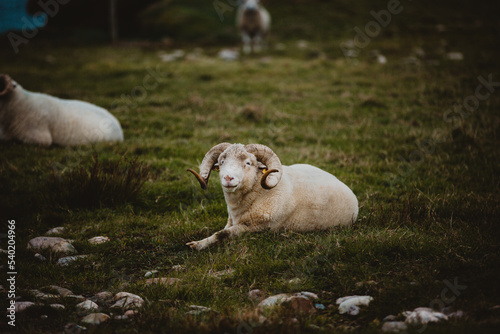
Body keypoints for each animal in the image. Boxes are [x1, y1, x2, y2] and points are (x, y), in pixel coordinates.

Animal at [186, 142, 358, 249]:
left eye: (248, 163)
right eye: (221, 162)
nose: (228, 178)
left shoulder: (255, 228)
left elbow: (222, 234)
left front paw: (198, 245)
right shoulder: (232, 222)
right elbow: (218, 232)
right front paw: (198, 242)